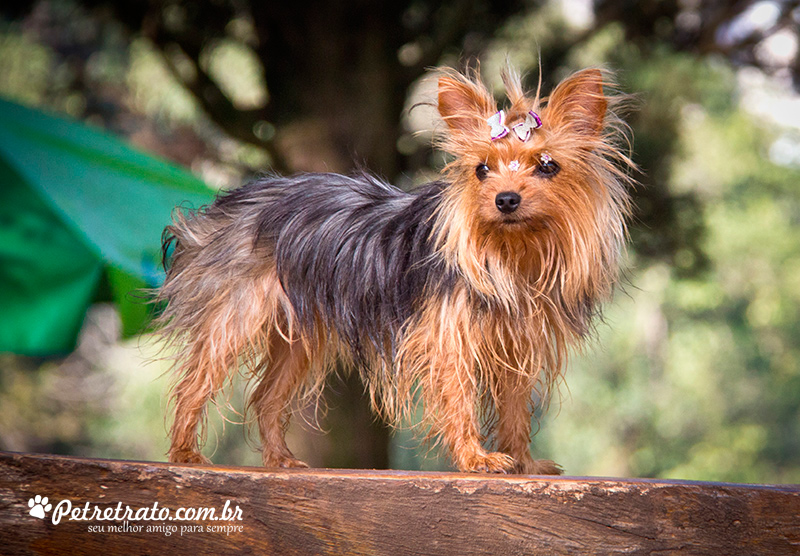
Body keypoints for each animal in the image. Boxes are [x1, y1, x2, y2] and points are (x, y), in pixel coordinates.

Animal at [155, 65, 632, 474]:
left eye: (548, 165)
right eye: (482, 170)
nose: (506, 199)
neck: (514, 253)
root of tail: (230, 202)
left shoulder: (517, 345)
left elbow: (515, 410)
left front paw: (524, 463)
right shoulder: (447, 338)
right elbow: (459, 398)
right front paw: (475, 458)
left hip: (299, 335)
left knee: (268, 397)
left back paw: (279, 459)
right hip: (235, 314)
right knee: (194, 383)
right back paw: (185, 453)